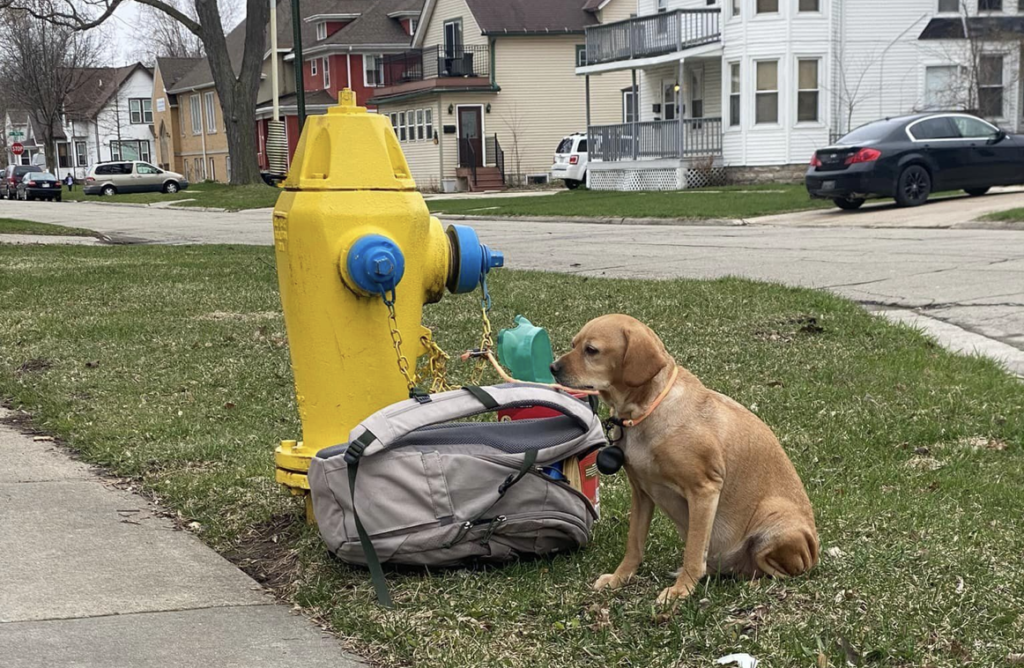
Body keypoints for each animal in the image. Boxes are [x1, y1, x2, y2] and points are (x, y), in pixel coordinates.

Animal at [548, 313, 819, 606]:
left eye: (591, 350)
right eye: (574, 344)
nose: (552, 367)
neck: (646, 410)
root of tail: (813, 551)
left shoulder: (704, 490)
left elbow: (693, 551)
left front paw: (681, 590)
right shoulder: (641, 492)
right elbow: (634, 544)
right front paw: (620, 578)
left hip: (775, 525)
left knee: (780, 572)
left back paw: (754, 584)